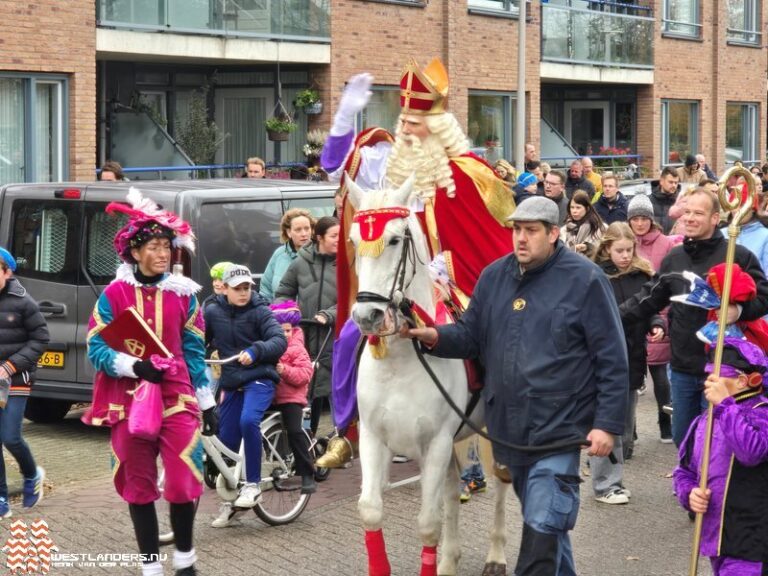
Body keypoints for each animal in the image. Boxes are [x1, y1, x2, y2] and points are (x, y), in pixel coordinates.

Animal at [348, 177, 510, 576]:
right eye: (355, 241)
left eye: (394, 240)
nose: (367, 316)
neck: (402, 361)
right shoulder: (374, 438)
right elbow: (371, 510)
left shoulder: (435, 443)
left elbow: (427, 523)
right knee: (452, 492)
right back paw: (449, 561)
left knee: (501, 482)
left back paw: (496, 555)